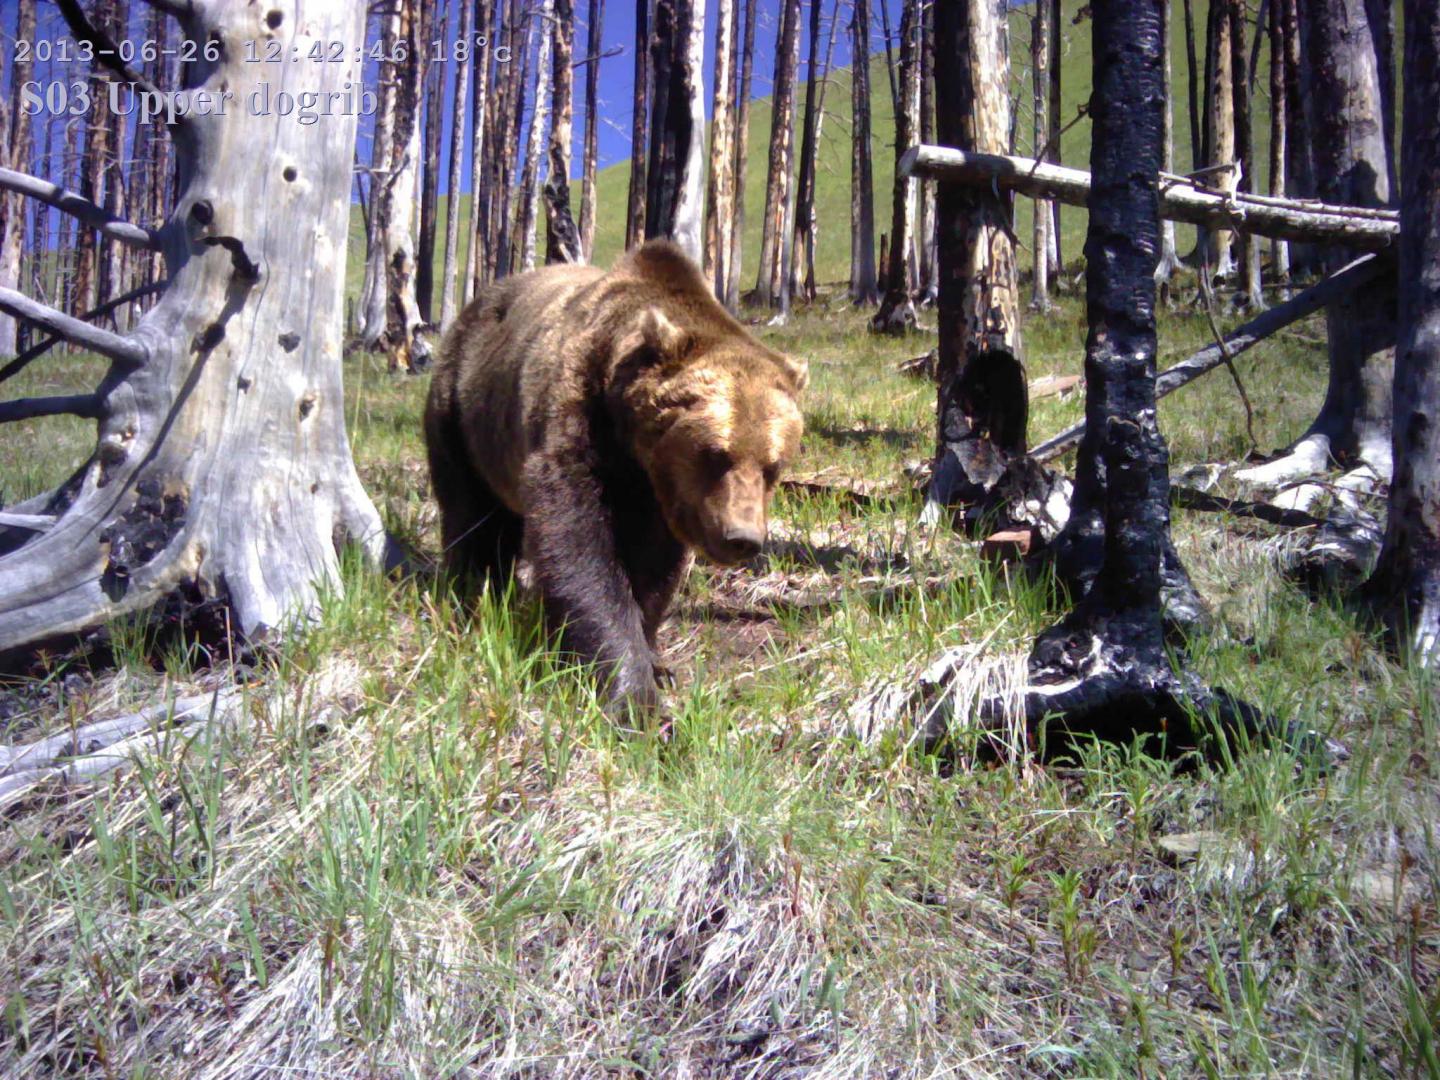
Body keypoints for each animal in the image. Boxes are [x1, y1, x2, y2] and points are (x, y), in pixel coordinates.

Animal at [424, 240, 807, 718]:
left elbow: (653, 567)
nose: (742, 537)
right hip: (464, 412)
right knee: (471, 518)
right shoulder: (579, 424)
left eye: (773, 466)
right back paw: (472, 599)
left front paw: (655, 663)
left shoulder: (658, 500)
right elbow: (581, 549)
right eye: (715, 454)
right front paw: (634, 696)